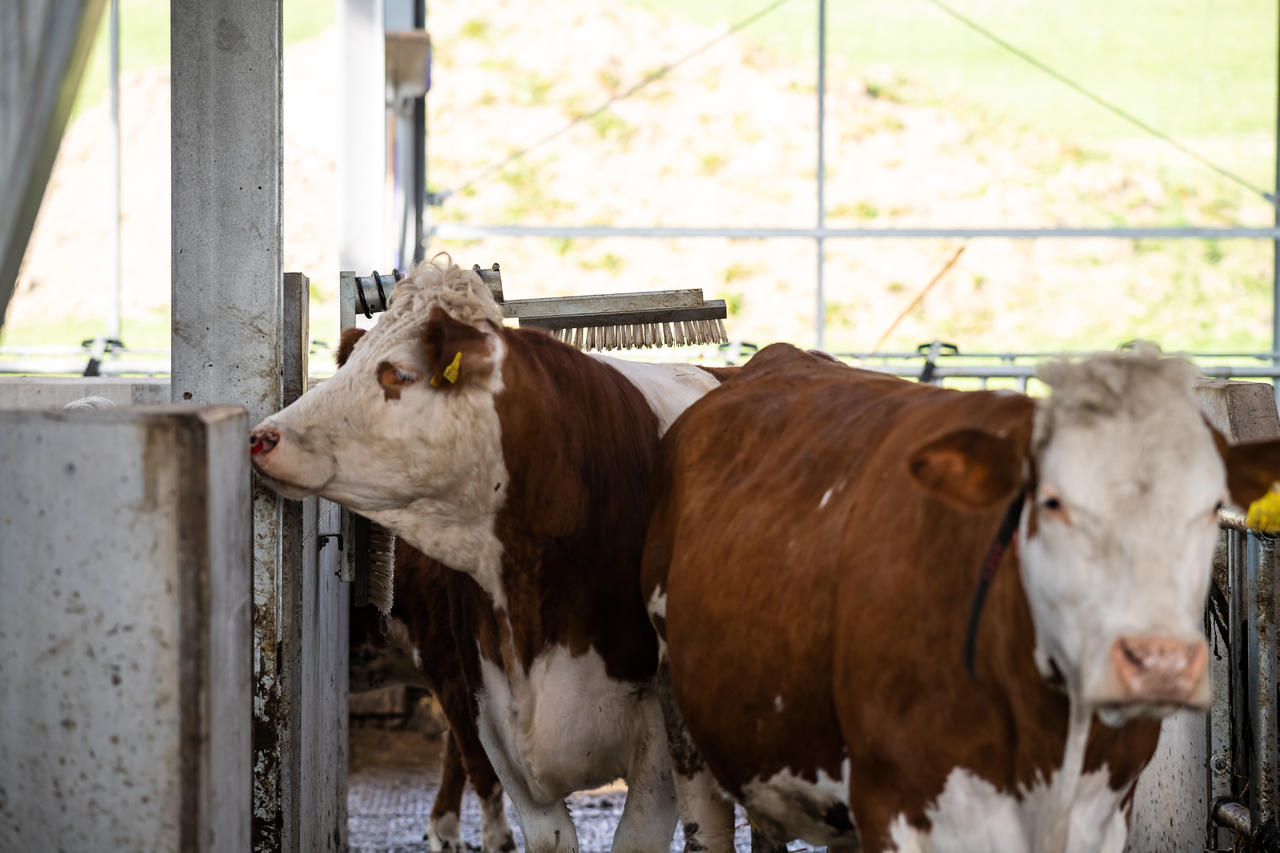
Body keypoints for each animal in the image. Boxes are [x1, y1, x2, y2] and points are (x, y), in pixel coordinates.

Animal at [645, 343, 1280, 850]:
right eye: (1052, 500)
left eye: (1210, 507)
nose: (1160, 663)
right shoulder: (896, 805)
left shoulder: (1103, 814)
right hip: (682, 718)